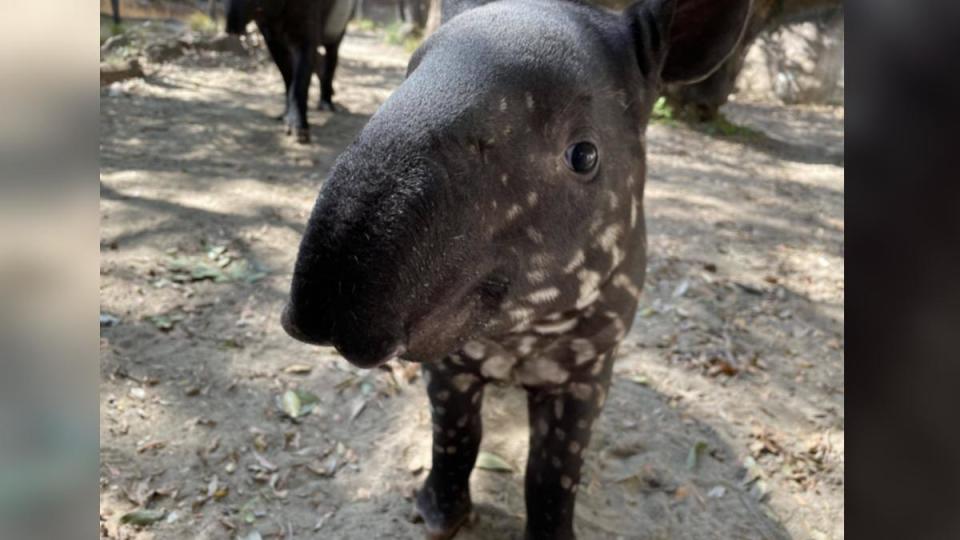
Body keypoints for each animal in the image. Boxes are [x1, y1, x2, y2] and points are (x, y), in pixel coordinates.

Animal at [225, 0, 356, 142]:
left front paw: (299, 130)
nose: (230, 29)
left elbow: (300, 78)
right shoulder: (270, 34)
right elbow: (287, 75)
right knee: (319, 59)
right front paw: (284, 116)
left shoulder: (307, 18)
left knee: (332, 53)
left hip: (341, 22)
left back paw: (326, 105)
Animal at [278, 0, 752, 532]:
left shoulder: (589, 368)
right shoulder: (448, 360)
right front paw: (440, 513)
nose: (328, 298)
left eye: (584, 155)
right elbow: (457, 434)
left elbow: (553, 468)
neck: (522, 329)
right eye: (403, 79)